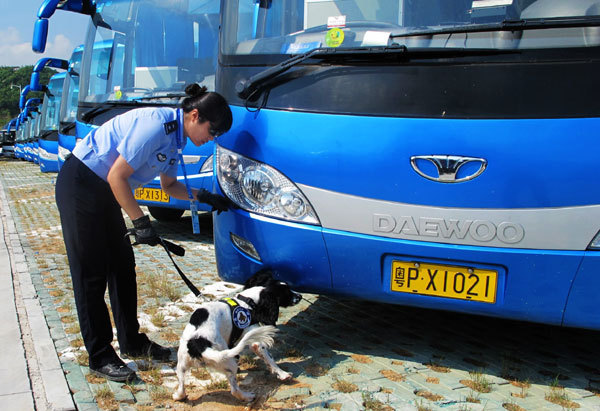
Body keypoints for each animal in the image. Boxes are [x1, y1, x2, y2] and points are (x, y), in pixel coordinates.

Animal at [171, 270, 302, 402]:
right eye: (287, 292)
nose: (300, 296)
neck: (247, 301)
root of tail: (198, 343)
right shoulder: (255, 342)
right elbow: (270, 359)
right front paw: (282, 374)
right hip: (227, 362)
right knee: (234, 389)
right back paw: (247, 396)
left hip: (181, 365)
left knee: (181, 389)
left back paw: (178, 396)